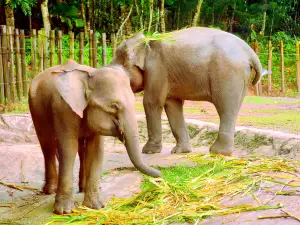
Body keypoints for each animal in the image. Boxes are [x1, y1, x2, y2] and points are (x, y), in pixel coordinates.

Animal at [28, 59, 161, 214]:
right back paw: (50, 191)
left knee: (81, 150)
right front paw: (64, 211)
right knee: (47, 145)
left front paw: (96, 207)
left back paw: (82, 188)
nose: (160, 175)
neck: (88, 78)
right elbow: (68, 147)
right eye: (114, 106)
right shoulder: (63, 108)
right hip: (35, 108)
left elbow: (96, 150)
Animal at [110, 26, 270, 156]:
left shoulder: (156, 69)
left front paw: (148, 152)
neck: (146, 41)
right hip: (240, 77)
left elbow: (152, 102)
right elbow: (172, 105)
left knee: (225, 108)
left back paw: (217, 152)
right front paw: (181, 152)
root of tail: (250, 52)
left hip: (228, 74)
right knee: (232, 109)